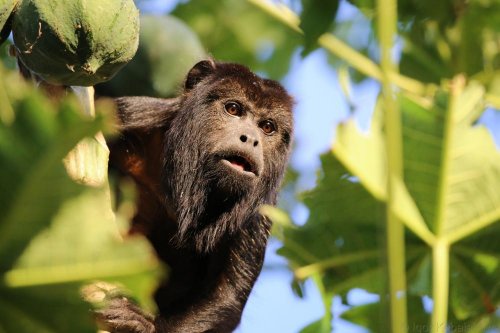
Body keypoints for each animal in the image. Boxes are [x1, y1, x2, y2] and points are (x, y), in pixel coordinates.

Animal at [97, 60, 292, 332]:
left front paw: (143, 324)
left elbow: (226, 297)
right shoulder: (129, 115)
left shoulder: (261, 209)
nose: (251, 139)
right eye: (233, 109)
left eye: (267, 127)